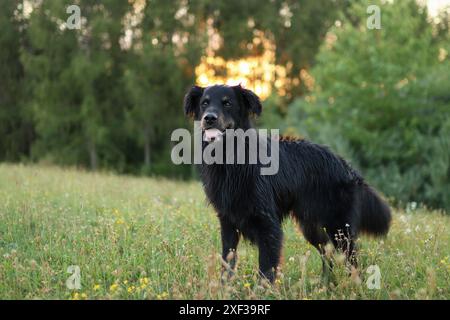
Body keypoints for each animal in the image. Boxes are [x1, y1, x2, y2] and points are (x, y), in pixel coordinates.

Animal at [183, 84, 390, 282]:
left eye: (227, 103)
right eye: (204, 103)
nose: (209, 118)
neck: (231, 161)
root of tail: (346, 166)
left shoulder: (268, 224)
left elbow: (266, 269)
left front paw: (263, 291)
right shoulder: (228, 222)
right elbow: (227, 263)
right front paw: (224, 288)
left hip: (339, 227)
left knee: (351, 259)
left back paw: (354, 286)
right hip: (311, 226)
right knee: (327, 253)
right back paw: (325, 284)